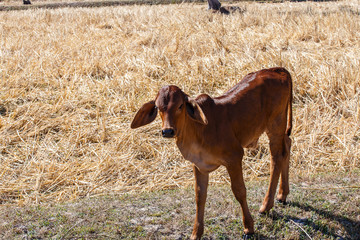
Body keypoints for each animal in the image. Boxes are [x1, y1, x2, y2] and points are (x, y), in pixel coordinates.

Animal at [131, 67, 292, 238]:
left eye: (180, 106)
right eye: (158, 107)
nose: (167, 131)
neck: (198, 130)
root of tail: (276, 70)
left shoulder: (234, 157)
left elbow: (239, 191)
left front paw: (248, 227)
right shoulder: (199, 165)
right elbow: (200, 196)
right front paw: (196, 233)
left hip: (276, 124)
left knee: (277, 157)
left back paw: (266, 205)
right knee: (287, 145)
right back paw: (282, 195)